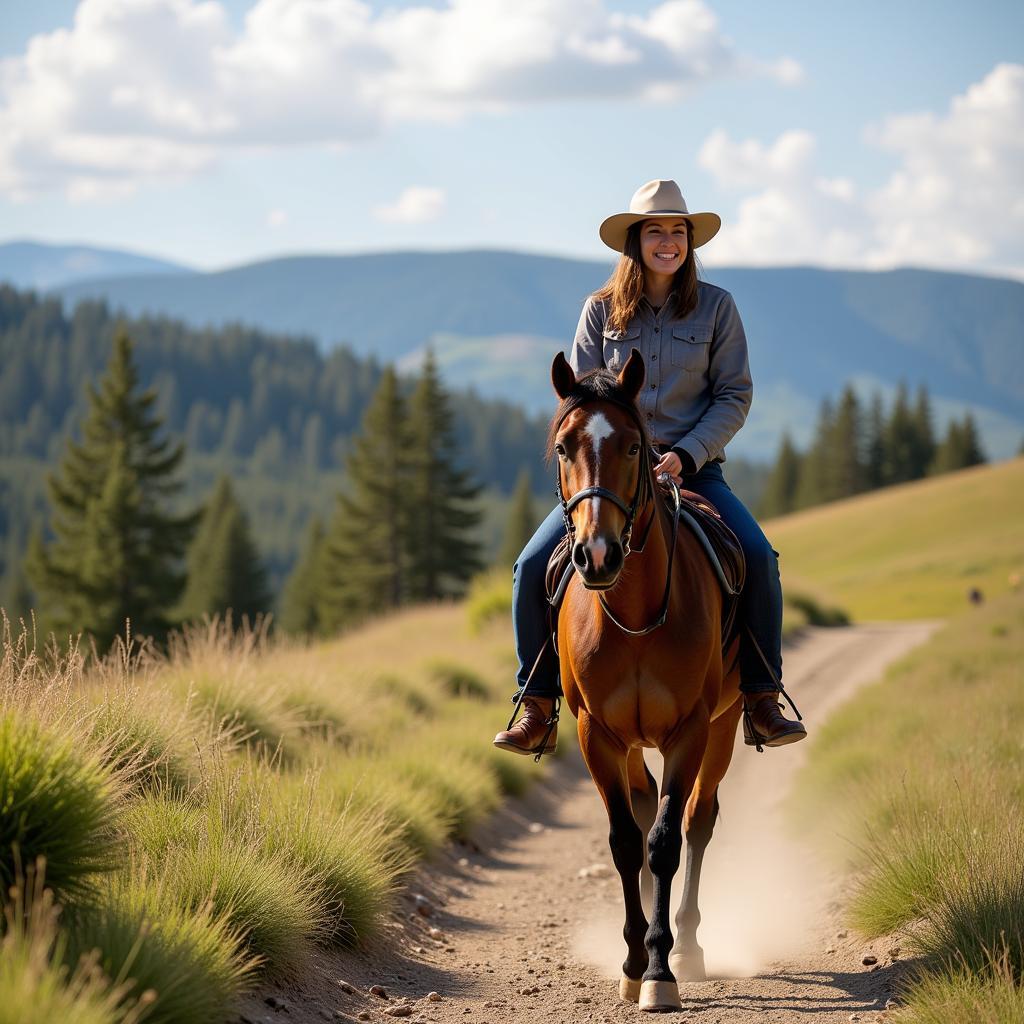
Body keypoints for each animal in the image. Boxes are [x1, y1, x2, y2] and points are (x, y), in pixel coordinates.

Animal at [552, 348, 745, 1011]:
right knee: (640, 809)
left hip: (726, 725)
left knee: (697, 820)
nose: (597, 555)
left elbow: (663, 841)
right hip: (631, 743)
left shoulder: (690, 729)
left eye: (635, 446)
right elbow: (624, 841)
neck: (634, 614)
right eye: (563, 447)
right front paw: (634, 962)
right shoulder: (597, 734)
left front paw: (661, 970)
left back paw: (688, 946)